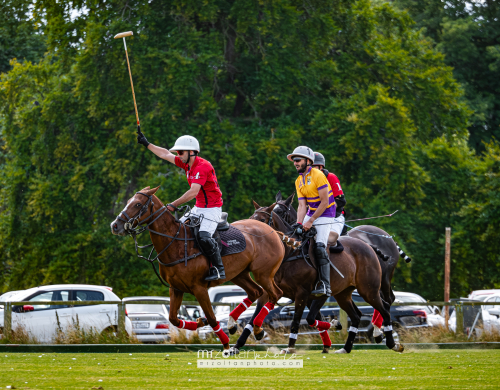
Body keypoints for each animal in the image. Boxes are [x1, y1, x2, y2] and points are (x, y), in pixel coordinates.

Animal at [112, 187, 288, 350]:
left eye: (137, 204)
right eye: (128, 201)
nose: (115, 225)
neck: (175, 243)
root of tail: (273, 231)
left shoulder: (199, 288)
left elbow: (212, 318)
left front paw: (226, 345)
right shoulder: (175, 288)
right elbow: (173, 318)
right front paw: (200, 321)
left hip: (263, 273)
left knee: (275, 293)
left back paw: (257, 329)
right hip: (238, 274)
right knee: (256, 292)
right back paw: (233, 323)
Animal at [229, 204, 402, 354]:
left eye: (262, 220)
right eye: (251, 218)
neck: (290, 253)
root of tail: (369, 246)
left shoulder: (303, 293)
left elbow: (299, 320)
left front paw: (290, 347)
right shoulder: (270, 290)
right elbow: (253, 318)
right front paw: (237, 345)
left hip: (369, 289)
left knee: (385, 307)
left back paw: (391, 342)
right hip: (344, 294)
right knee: (357, 315)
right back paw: (346, 348)